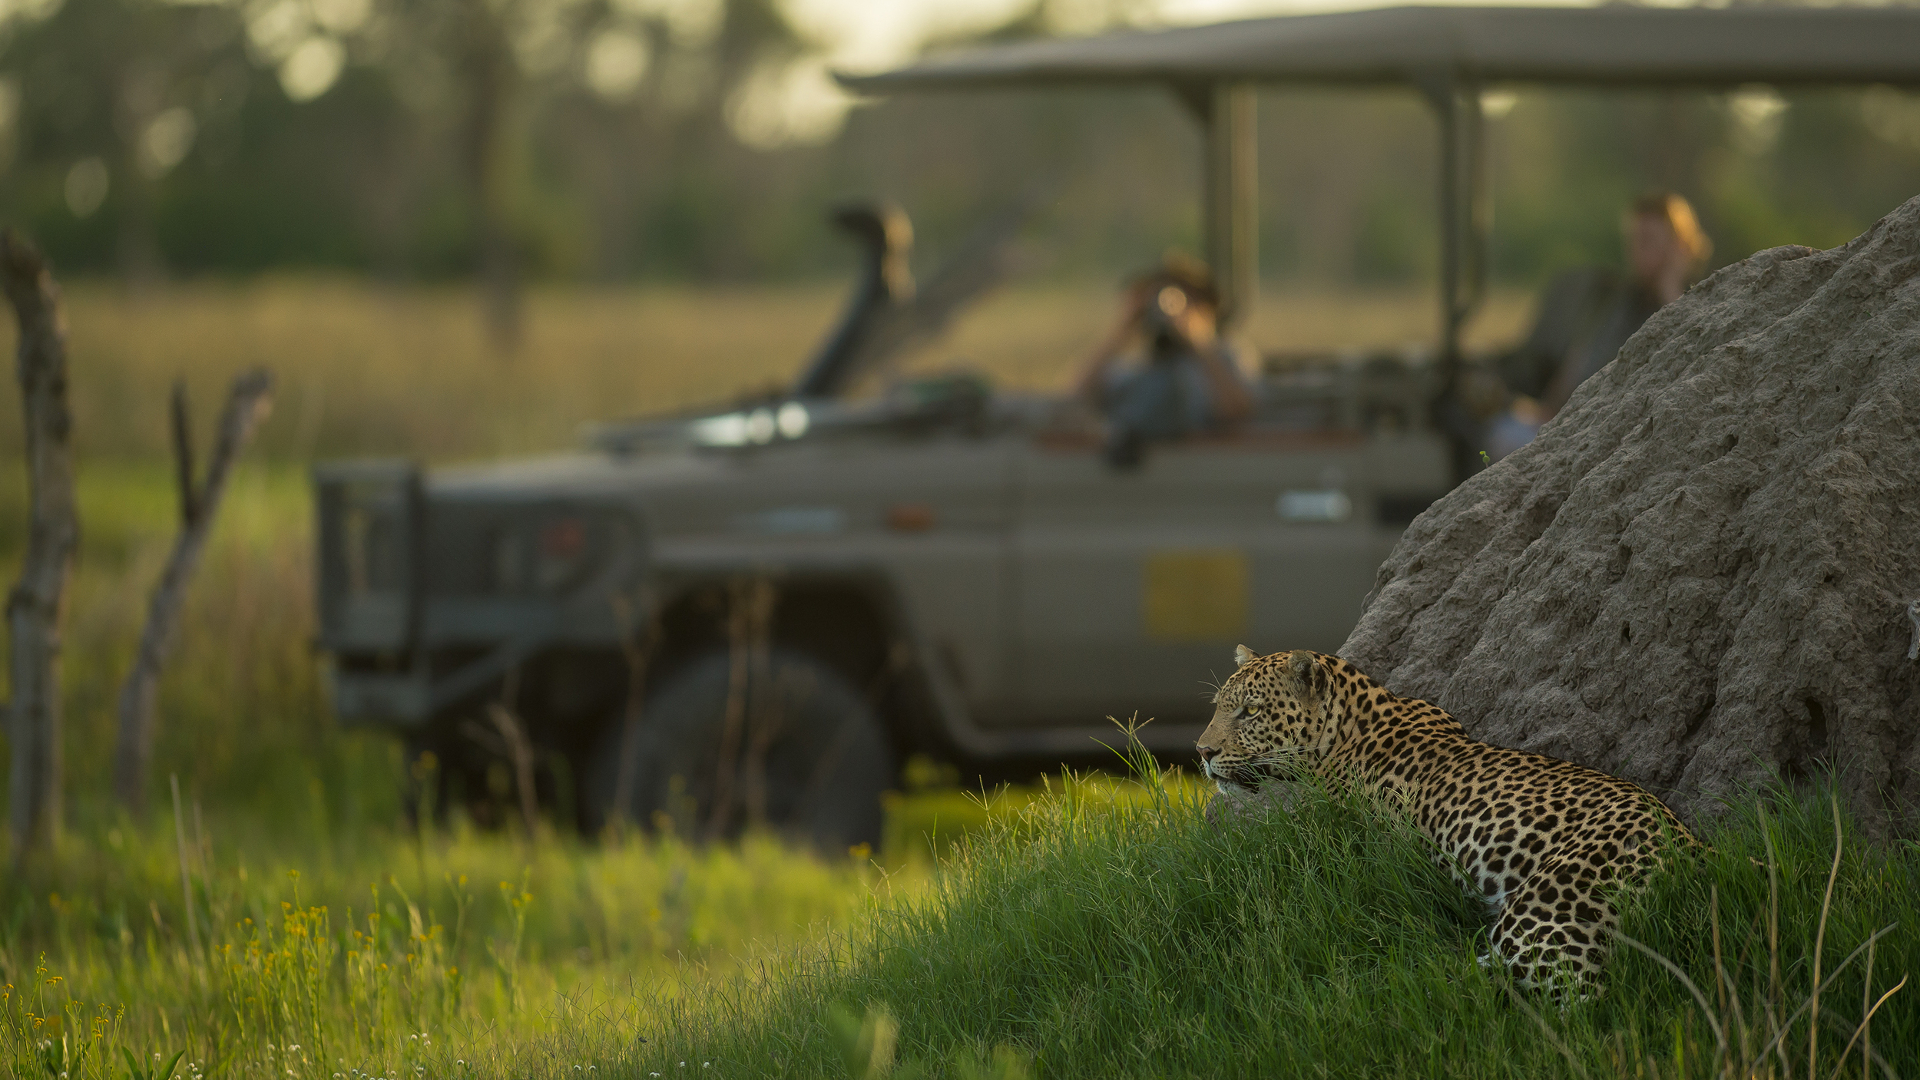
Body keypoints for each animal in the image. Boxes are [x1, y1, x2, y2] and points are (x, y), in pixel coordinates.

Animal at [1196, 645, 1699, 996]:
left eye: (1251, 711)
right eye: (1218, 705)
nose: (1202, 752)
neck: (1345, 732)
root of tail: (1692, 855)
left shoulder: (1359, 849)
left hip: (1547, 910)